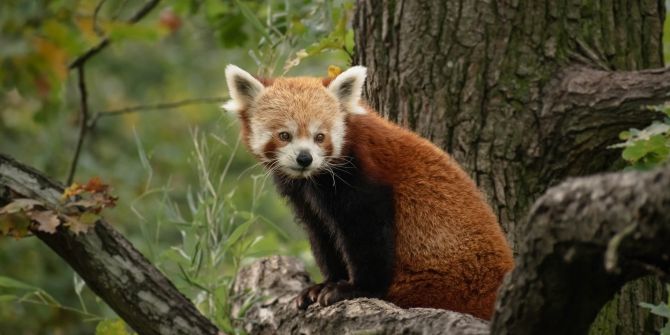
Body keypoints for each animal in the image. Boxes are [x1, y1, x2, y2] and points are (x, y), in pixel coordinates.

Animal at [224, 64, 516, 318]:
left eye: (320, 137)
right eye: (284, 135)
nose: (305, 158)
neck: (313, 180)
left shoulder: (363, 178)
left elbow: (368, 235)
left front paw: (354, 289)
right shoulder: (305, 198)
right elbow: (323, 235)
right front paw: (324, 285)